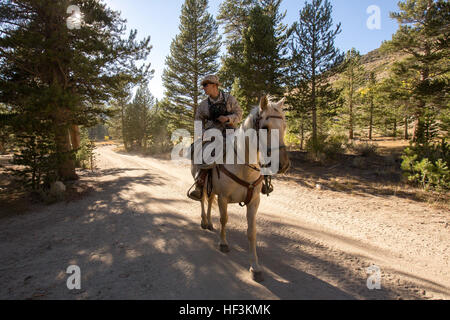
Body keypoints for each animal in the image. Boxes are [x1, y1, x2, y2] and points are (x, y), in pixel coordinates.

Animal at [192, 95, 290, 282]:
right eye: (265, 128)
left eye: (284, 126)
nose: (283, 165)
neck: (243, 166)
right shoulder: (223, 197)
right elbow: (224, 219)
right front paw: (223, 244)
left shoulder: (254, 202)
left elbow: (252, 232)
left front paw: (255, 267)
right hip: (202, 183)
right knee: (202, 199)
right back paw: (204, 221)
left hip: (212, 189)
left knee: (209, 200)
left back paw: (209, 223)